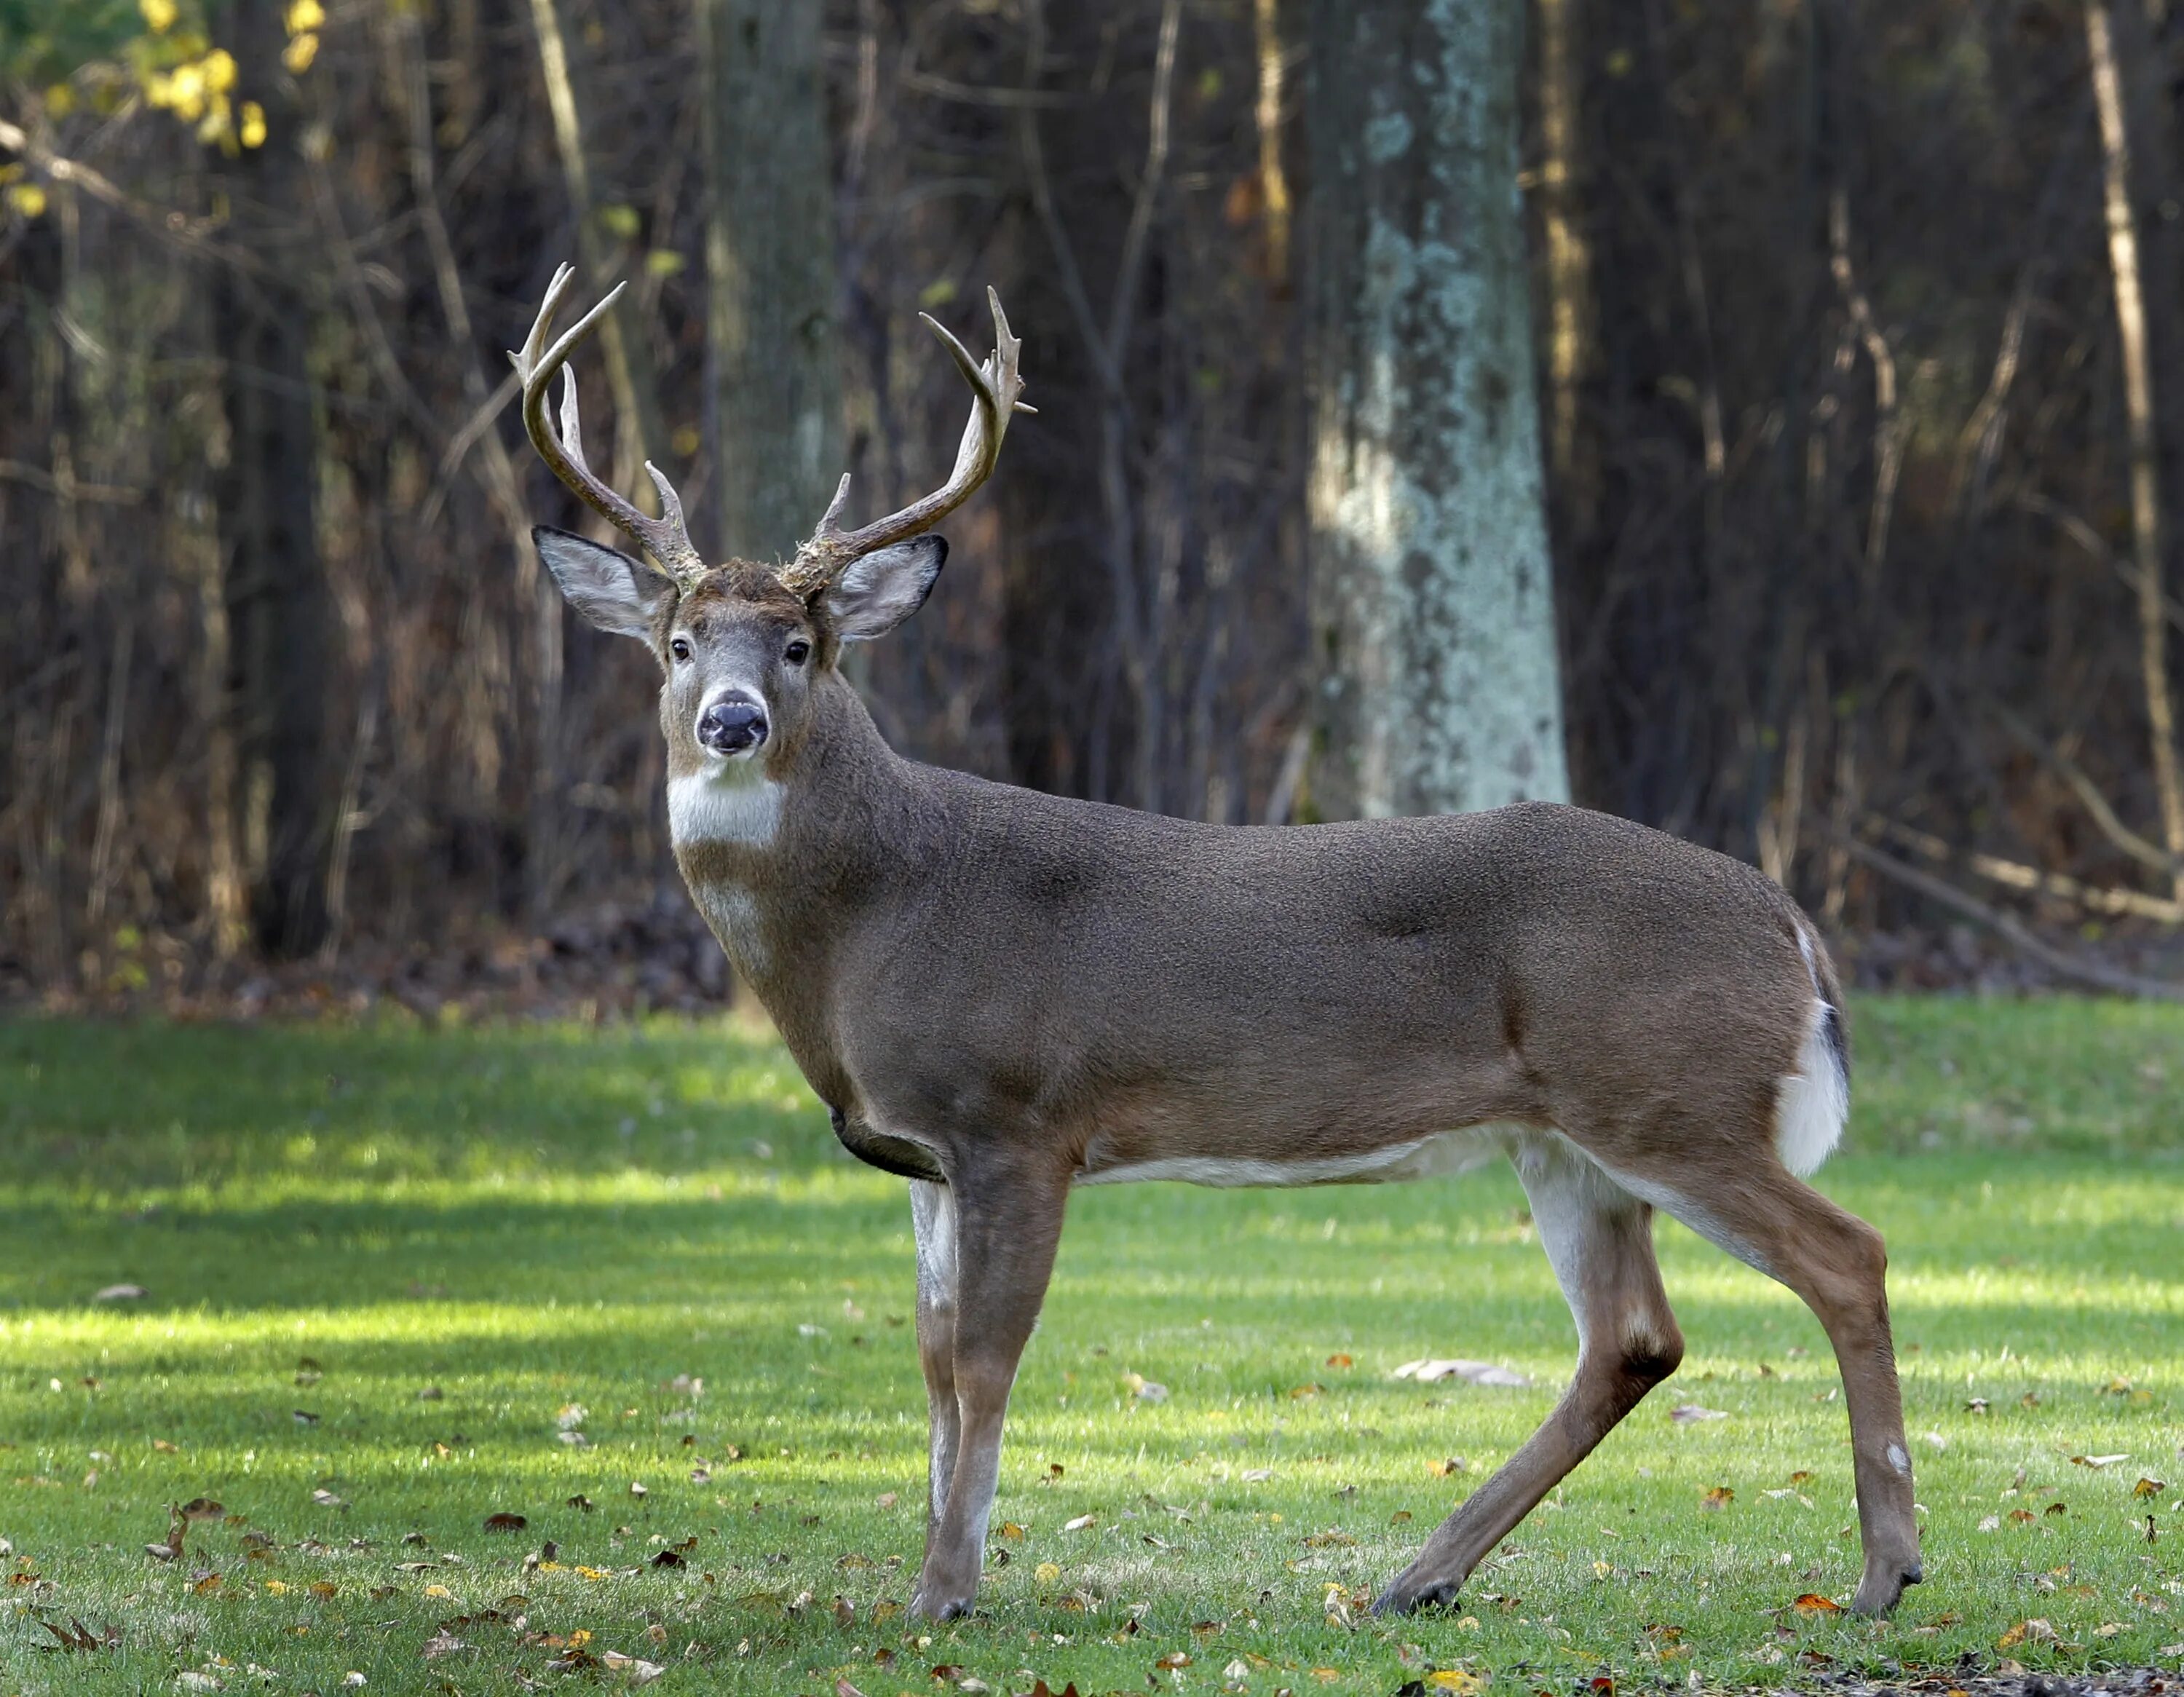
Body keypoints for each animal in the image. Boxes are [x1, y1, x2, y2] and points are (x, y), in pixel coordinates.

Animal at [507, 264, 1913, 1616]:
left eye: (800, 644)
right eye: (678, 644)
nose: (732, 721)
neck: (871, 920)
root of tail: (1790, 924)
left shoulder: (1019, 1118)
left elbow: (985, 1360)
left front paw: (947, 1593)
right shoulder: (922, 1154)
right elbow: (931, 1363)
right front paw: (926, 1572)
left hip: (1669, 1094)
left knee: (1848, 1254)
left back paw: (1882, 1573)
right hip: (1567, 1138)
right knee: (1632, 1338)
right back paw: (1419, 1575)